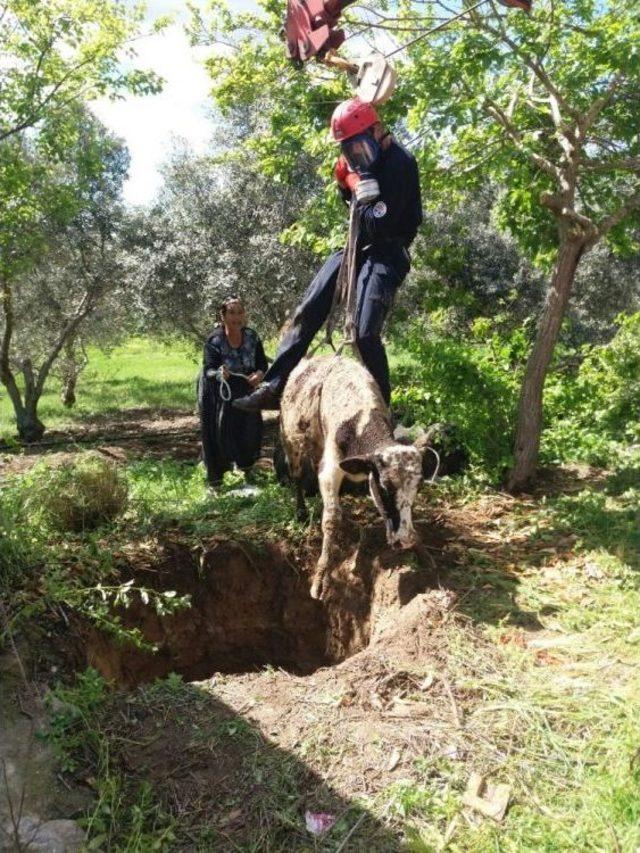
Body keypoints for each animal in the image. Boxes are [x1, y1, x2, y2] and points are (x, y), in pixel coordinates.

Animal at [278, 356, 420, 596]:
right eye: (384, 488)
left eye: (416, 489)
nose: (406, 540)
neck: (360, 420)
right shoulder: (331, 469)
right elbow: (331, 517)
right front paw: (321, 578)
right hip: (291, 441)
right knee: (296, 475)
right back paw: (301, 511)